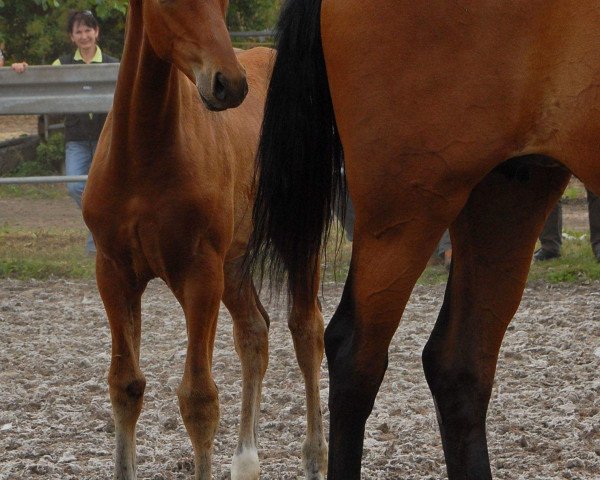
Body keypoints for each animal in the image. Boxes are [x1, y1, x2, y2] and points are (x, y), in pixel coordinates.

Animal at [82, 0, 326, 480]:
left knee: (307, 332)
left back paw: (314, 457)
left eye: (223, 4)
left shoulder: (199, 274)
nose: (229, 84)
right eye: (165, 3)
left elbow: (199, 400)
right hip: (233, 264)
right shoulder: (113, 272)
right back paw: (246, 461)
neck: (143, 156)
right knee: (254, 333)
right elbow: (126, 386)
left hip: (296, 242)